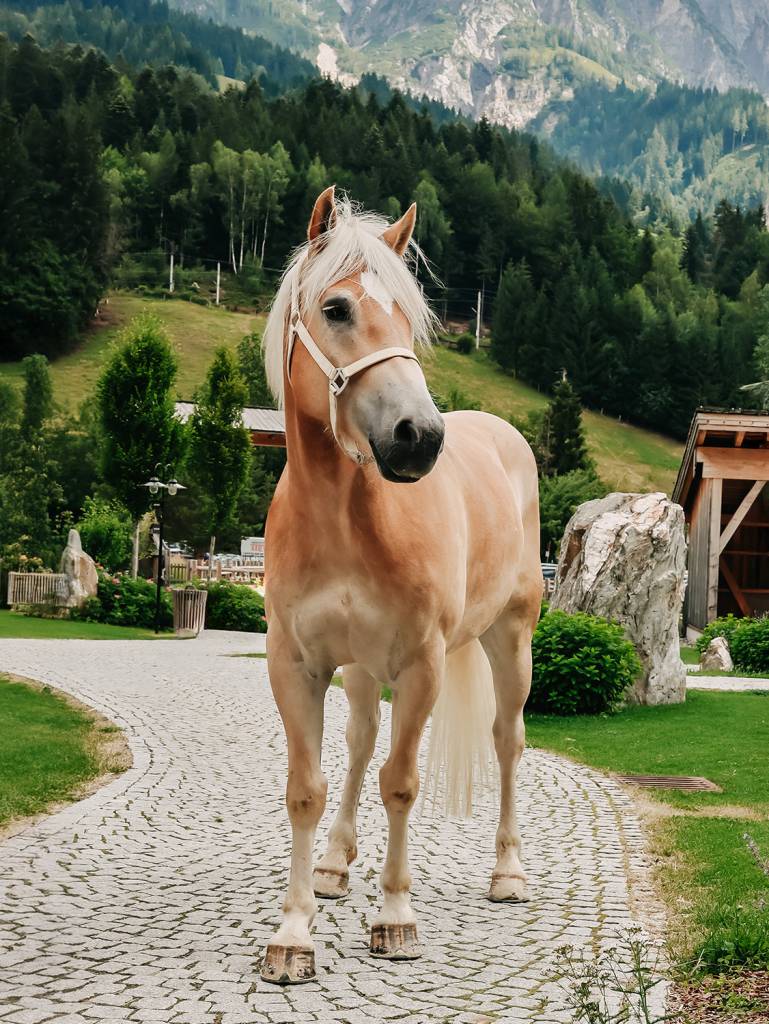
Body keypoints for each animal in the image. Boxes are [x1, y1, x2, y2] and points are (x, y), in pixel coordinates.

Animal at [259, 187, 542, 985]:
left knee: (507, 740)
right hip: (358, 668)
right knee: (359, 741)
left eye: (410, 318)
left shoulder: (422, 665)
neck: (348, 519)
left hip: (511, 643)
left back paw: (507, 873)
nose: (420, 436)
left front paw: (394, 917)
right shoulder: (295, 665)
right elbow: (308, 787)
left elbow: (402, 783)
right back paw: (333, 864)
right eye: (336, 309)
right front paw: (295, 930)